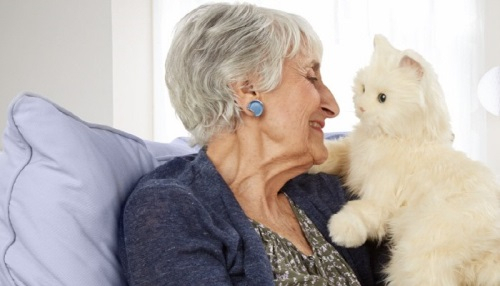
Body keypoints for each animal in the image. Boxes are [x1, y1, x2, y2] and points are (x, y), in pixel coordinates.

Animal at [310, 35, 500, 286]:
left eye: (382, 98)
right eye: (363, 88)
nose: (361, 107)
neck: (401, 139)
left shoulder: (383, 194)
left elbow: (362, 211)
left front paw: (342, 230)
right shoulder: (350, 156)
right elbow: (332, 153)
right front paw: (310, 162)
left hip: (419, 252)